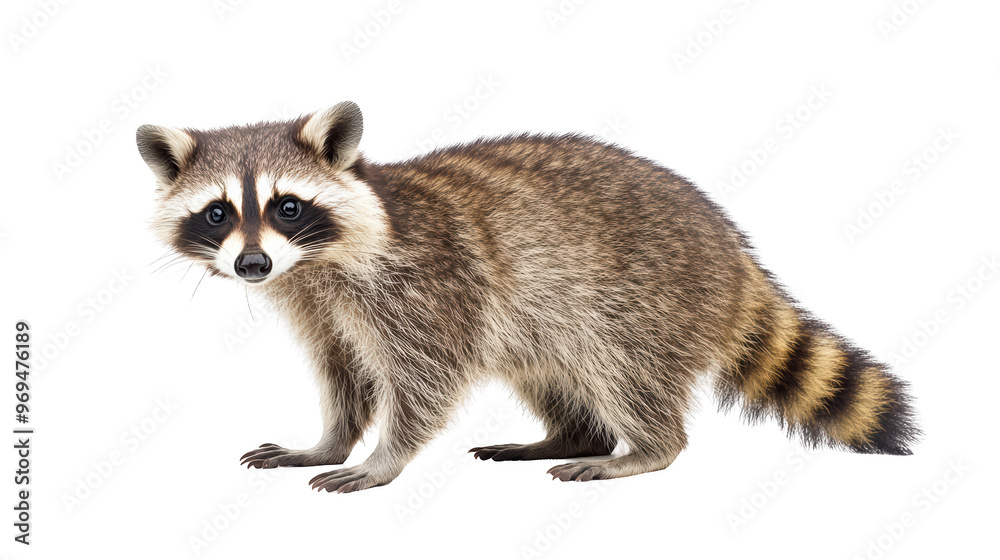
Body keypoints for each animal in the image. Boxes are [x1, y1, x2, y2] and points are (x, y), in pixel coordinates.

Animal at [137, 102, 918, 493]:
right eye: (218, 213)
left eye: (288, 206)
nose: (253, 264)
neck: (315, 263)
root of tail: (734, 250)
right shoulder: (318, 305)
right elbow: (343, 373)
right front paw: (328, 439)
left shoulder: (430, 283)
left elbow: (423, 381)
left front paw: (383, 457)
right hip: (551, 319)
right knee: (552, 369)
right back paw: (573, 433)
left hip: (646, 295)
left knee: (622, 367)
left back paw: (644, 448)